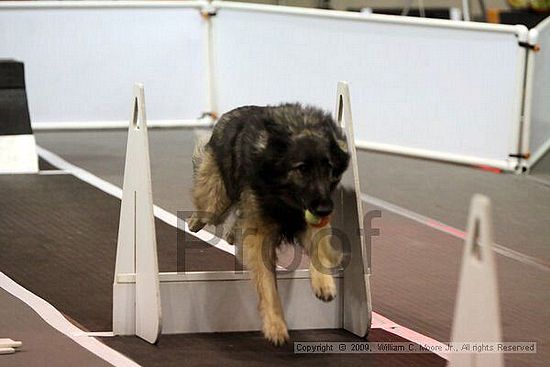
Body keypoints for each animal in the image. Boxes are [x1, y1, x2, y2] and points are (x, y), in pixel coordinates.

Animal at [189, 104, 350, 348]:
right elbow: (267, 283)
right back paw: (195, 222)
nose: (325, 209)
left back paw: (230, 234)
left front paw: (324, 283)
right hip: (217, 199)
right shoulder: (261, 234)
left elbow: (319, 248)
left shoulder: (308, 218)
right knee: (210, 207)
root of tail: (227, 114)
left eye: (328, 168)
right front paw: (275, 324)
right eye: (302, 169)